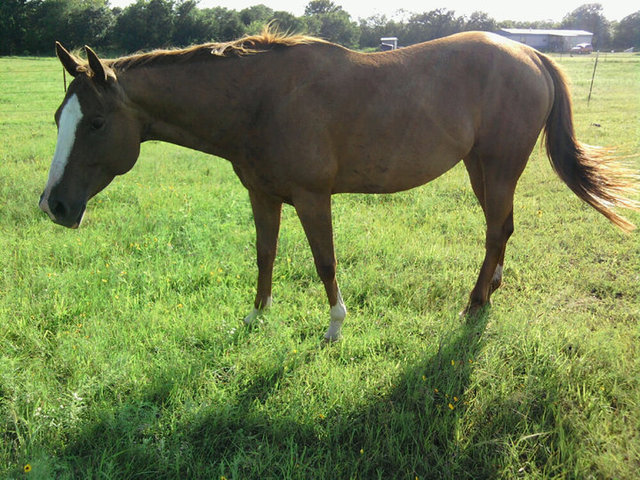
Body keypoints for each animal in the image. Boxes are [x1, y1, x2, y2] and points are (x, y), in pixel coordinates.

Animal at [39, 30, 638, 341]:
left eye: (96, 123)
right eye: (59, 117)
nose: (54, 206)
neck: (260, 99)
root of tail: (529, 52)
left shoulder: (312, 197)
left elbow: (324, 261)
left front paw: (334, 325)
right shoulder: (262, 194)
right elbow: (264, 254)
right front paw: (256, 316)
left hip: (498, 166)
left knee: (495, 232)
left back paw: (473, 305)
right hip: (480, 169)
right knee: (503, 231)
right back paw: (489, 292)